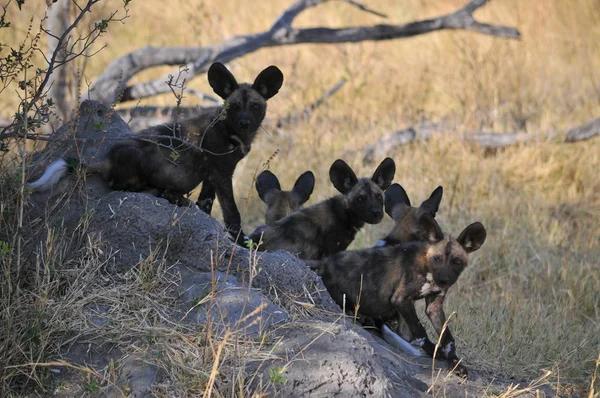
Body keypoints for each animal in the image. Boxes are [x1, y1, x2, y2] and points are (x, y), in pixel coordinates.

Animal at [25, 62, 284, 243]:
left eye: (255, 106)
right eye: (234, 106)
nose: (244, 123)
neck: (230, 131)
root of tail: (105, 160)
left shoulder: (212, 176)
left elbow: (206, 204)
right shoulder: (221, 175)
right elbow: (232, 214)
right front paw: (241, 242)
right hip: (134, 156)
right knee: (124, 187)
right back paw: (164, 194)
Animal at [308, 216, 486, 378]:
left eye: (457, 262)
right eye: (437, 259)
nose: (444, 280)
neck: (426, 267)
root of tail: (324, 264)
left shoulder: (434, 307)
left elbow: (448, 339)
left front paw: (455, 363)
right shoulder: (401, 300)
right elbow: (420, 332)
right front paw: (434, 352)